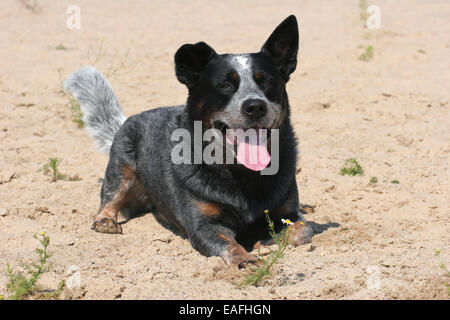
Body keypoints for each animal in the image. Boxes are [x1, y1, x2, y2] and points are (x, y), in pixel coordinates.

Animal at [64, 16, 312, 268]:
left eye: (269, 82)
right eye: (225, 85)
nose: (255, 106)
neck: (242, 174)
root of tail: (127, 120)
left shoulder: (287, 213)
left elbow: (303, 230)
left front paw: (267, 241)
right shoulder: (204, 225)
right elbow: (230, 244)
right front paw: (247, 259)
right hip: (121, 167)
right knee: (110, 196)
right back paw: (105, 220)